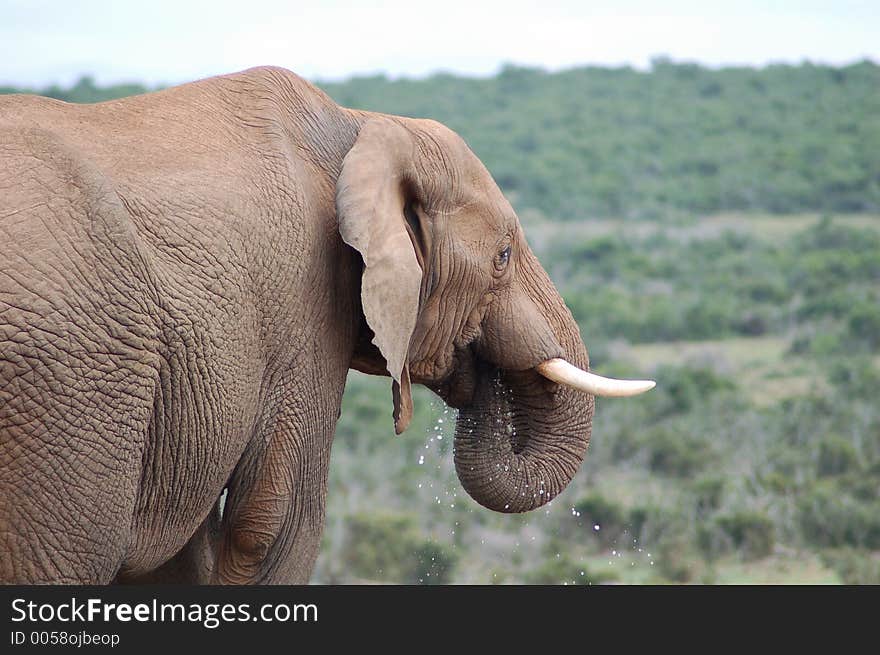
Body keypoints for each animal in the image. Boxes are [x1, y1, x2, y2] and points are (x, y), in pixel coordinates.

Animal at [0, 66, 652, 584]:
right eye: (503, 257)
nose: (482, 366)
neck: (362, 127)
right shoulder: (304, 305)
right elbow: (275, 526)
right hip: (68, 380)